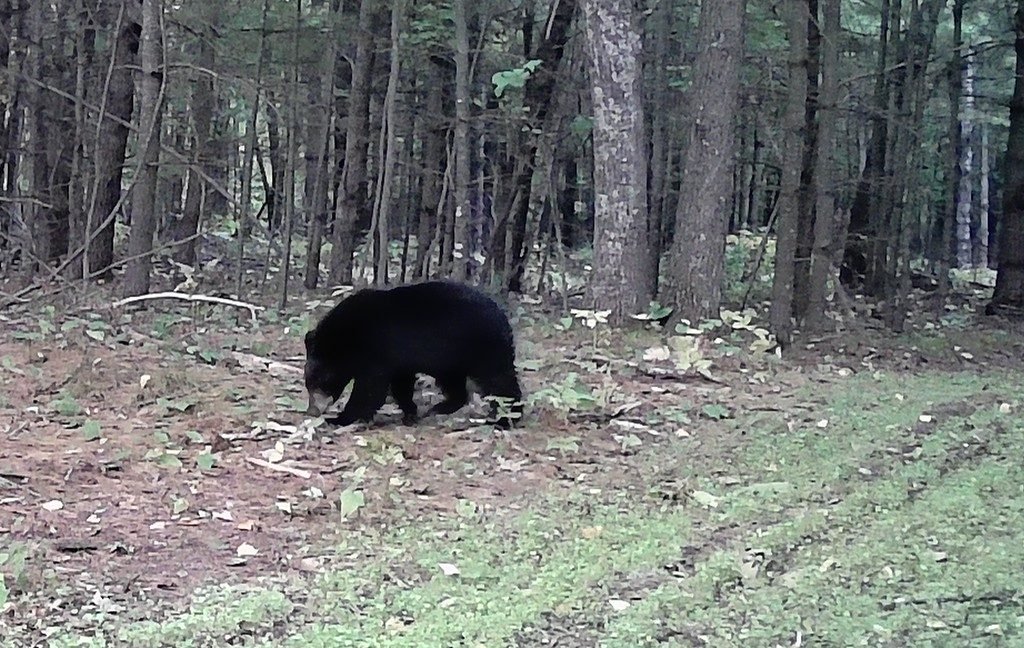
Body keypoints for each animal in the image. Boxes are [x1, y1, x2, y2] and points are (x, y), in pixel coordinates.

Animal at [303, 280, 524, 429]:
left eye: (318, 383)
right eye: (308, 383)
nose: (312, 411)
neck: (349, 336)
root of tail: (504, 320)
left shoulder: (377, 350)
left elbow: (369, 389)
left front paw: (340, 418)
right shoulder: (399, 360)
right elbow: (401, 384)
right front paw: (410, 412)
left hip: (482, 348)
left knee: (499, 381)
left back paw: (506, 419)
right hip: (451, 360)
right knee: (456, 386)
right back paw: (438, 408)